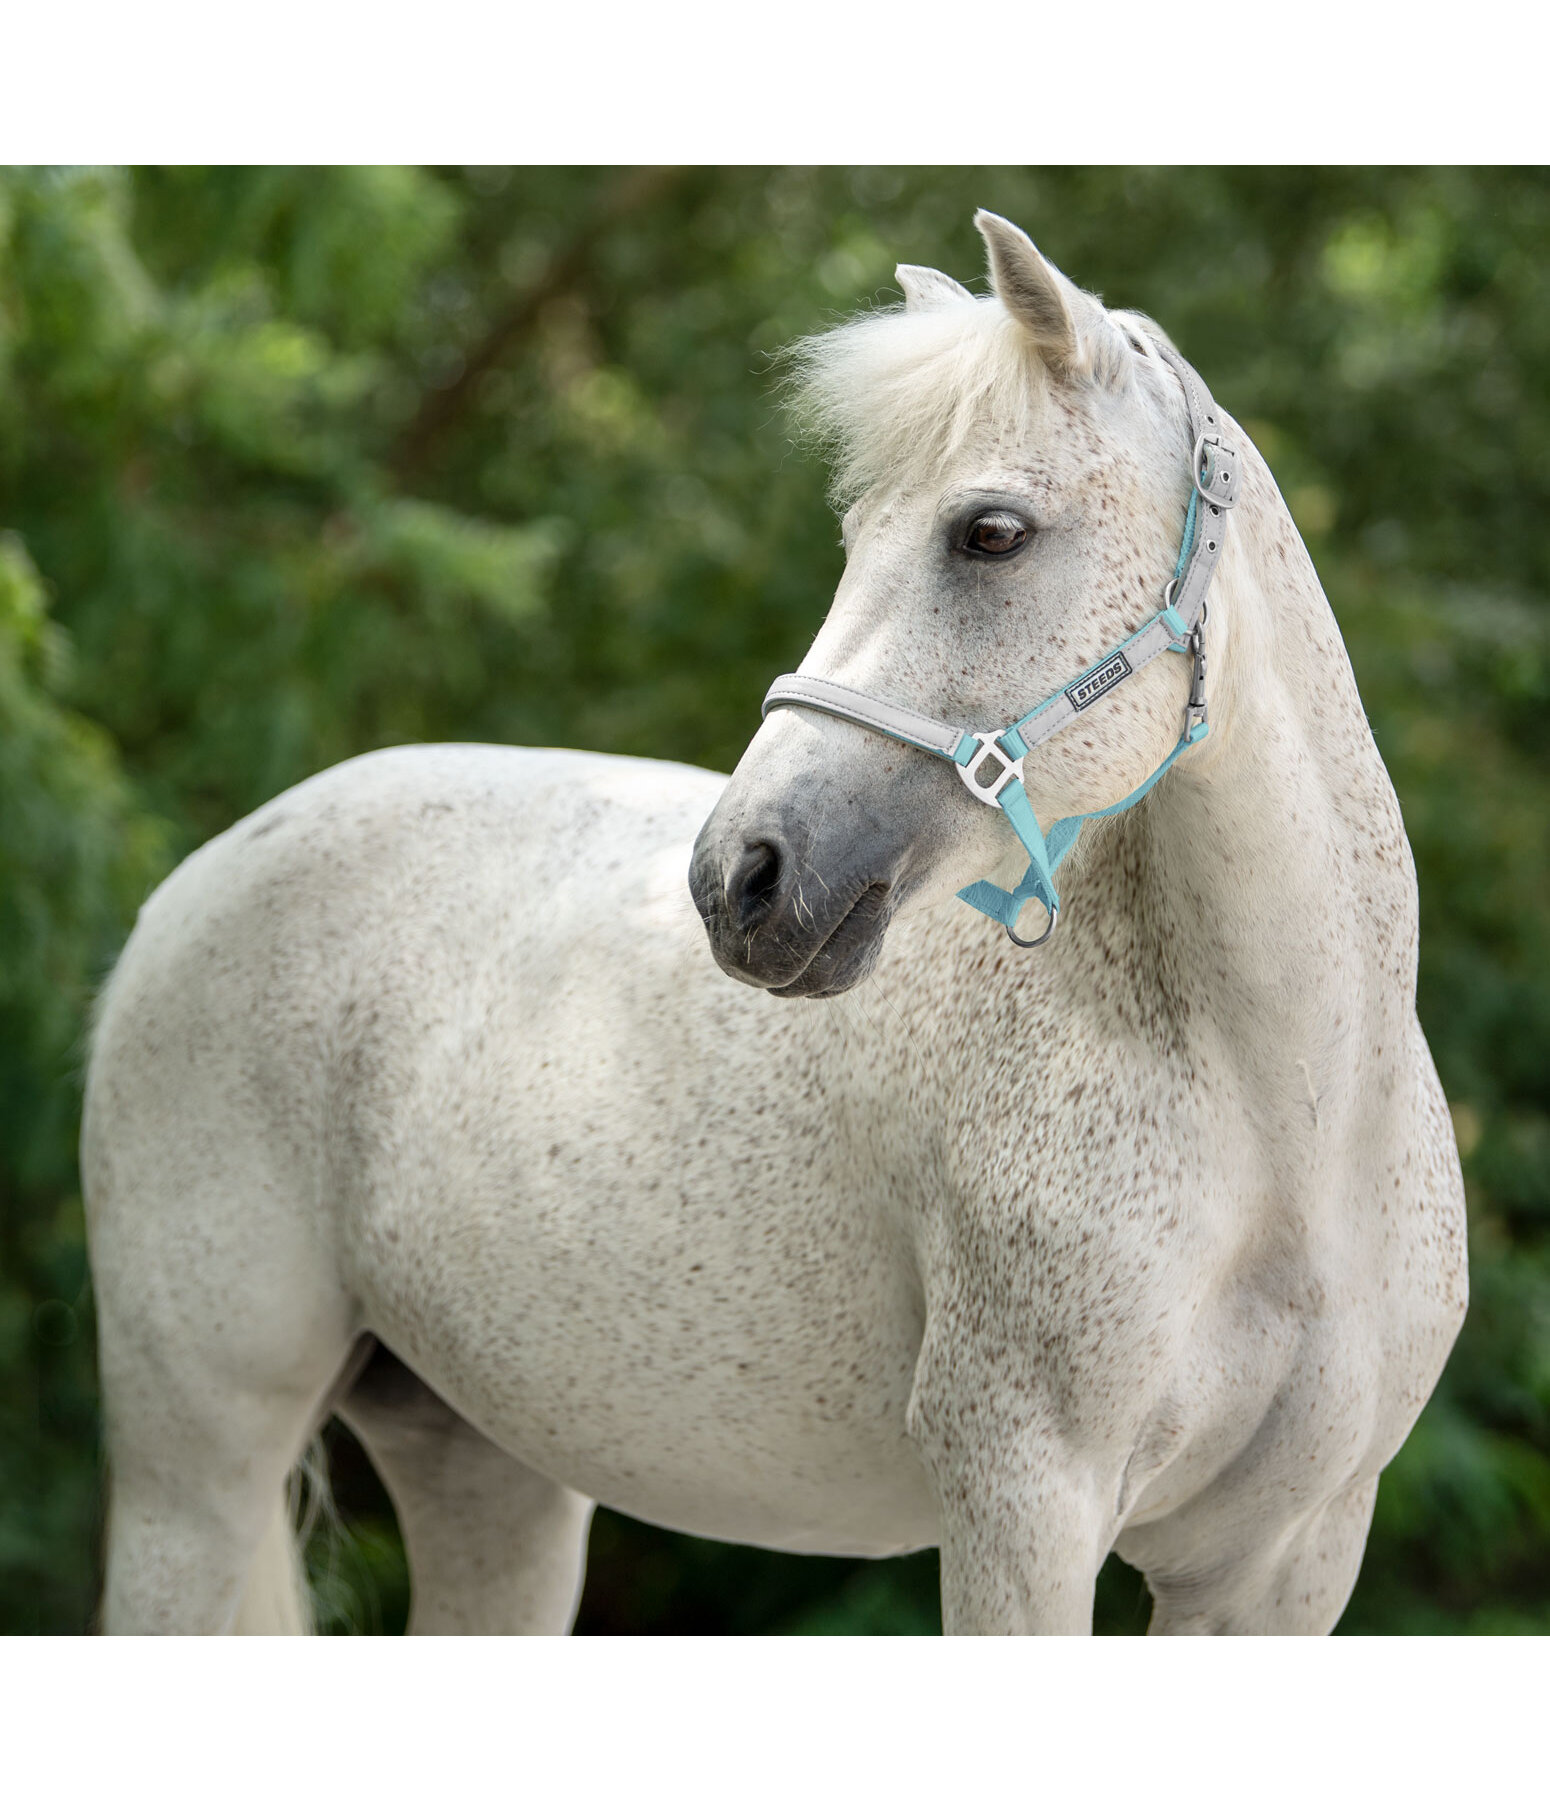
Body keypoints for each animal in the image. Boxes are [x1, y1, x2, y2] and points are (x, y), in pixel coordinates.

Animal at [81, 210, 1461, 1634]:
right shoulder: (1022, 1517)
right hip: (197, 1470)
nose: (740, 878)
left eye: (990, 533)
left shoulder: (1282, 1562)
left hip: (485, 1473)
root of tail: (196, 884)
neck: (1287, 1124)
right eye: (855, 535)